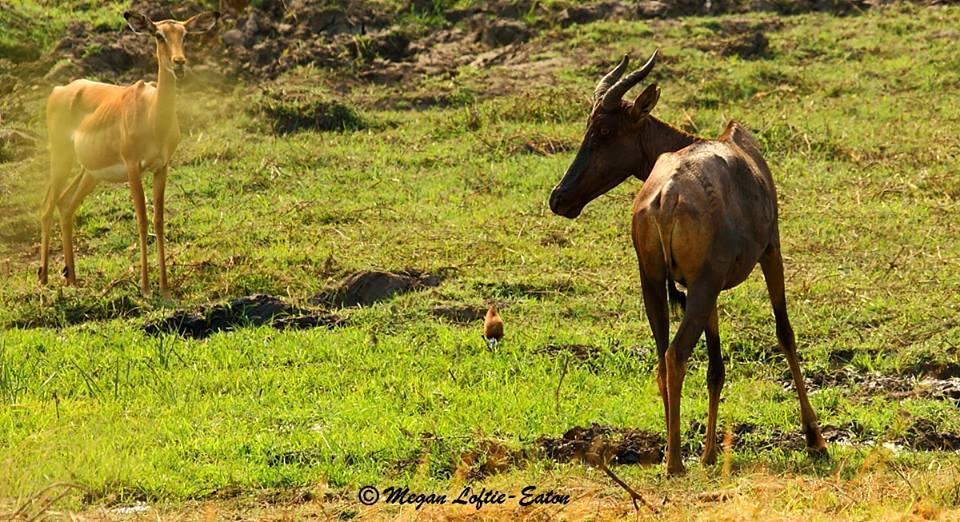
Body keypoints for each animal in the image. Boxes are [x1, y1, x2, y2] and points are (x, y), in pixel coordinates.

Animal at [552, 50, 828, 474]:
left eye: (603, 130)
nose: (559, 198)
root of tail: (667, 196)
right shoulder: (770, 250)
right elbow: (785, 333)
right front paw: (815, 439)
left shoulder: (700, 285)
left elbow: (716, 367)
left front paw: (710, 452)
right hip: (702, 286)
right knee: (677, 354)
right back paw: (674, 463)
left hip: (654, 282)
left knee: (662, 357)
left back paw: (673, 451)